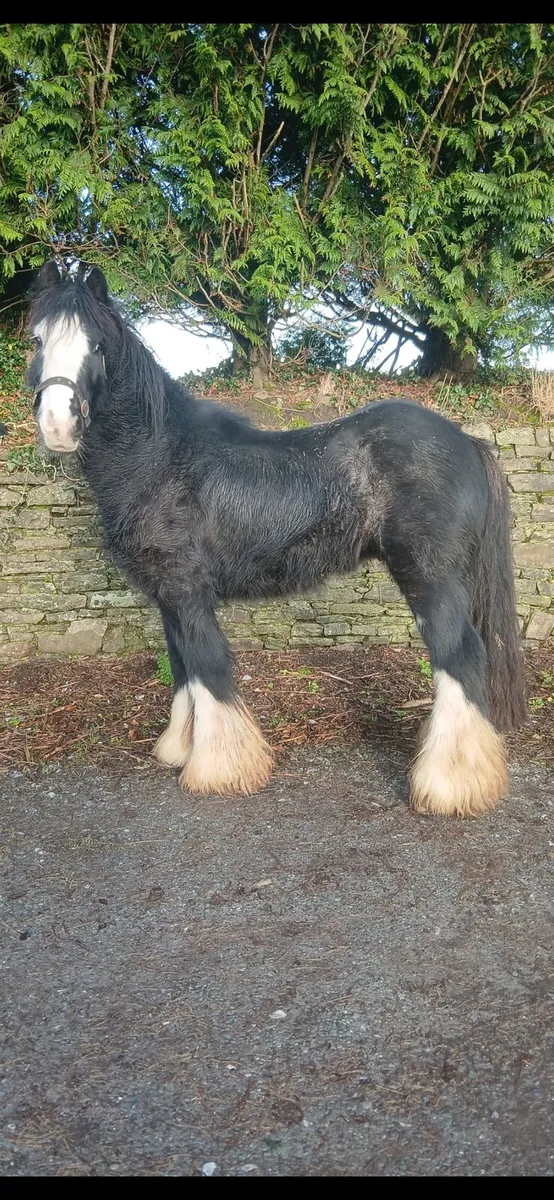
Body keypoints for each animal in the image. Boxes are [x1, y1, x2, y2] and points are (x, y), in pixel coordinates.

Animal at [27, 259, 526, 817]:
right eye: (37, 338)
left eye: (96, 345)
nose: (57, 424)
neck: (159, 455)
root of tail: (466, 440)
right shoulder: (168, 597)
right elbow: (182, 668)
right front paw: (179, 748)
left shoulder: (187, 590)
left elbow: (208, 666)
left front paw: (220, 768)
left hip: (430, 581)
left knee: (459, 658)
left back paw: (449, 786)